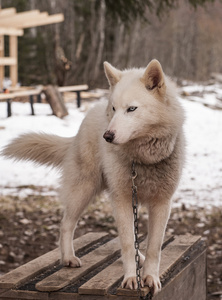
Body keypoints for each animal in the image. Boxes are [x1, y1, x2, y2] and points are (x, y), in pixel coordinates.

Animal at [2, 59, 185, 296]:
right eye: (114, 109)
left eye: (131, 109)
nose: (107, 136)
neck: (143, 159)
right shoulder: (123, 199)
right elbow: (128, 243)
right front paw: (130, 278)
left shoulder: (162, 203)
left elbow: (154, 247)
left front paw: (150, 277)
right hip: (83, 191)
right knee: (66, 224)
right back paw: (68, 258)